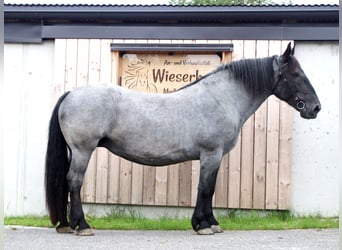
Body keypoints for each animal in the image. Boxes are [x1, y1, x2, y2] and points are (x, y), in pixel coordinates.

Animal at [44, 43, 320, 236]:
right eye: (296, 74)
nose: (315, 108)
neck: (222, 97)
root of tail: (71, 94)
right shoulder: (211, 153)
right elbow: (206, 188)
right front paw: (205, 225)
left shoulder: (213, 156)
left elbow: (208, 188)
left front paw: (208, 223)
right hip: (83, 150)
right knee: (74, 181)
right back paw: (82, 225)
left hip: (75, 151)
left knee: (66, 182)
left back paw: (66, 225)